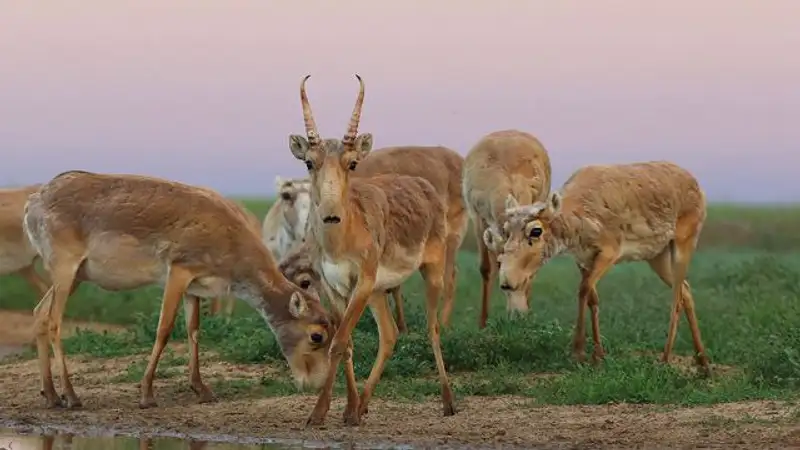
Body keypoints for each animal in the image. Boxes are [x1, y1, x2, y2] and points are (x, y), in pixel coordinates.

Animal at [23, 171, 332, 410]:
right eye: (316, 335)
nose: (316, 383)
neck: (232, 243)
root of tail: (33, 202)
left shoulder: (195, 286)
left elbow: (193, 329)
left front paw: (202, 389)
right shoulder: (178, 271)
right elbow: (164, 328)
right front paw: (147, 394)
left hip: (76, 275)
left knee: (39, 313)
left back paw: (51, 395)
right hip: (65, 267)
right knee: (54, 321)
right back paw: (71, 396)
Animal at [290, 75, 456, 428]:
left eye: (352, 163)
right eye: (309, 162)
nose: (330, 215)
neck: (341, 239)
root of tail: (424, 186)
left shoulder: (362, 282)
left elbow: (338, 342)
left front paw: (319, 413)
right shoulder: (333, 287)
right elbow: (346, 343)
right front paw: (347, 409)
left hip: (431, 272)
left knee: (433, 328)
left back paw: (449, 403)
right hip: (380, 292)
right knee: (390, 335)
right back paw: (364, 405)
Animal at [460, 129, 552, 326]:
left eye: (525, 279)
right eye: (504, 286)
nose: (519, 316)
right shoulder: (478, 219)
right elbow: (485, 268)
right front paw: (482, 323)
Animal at [494, 162, 712, 376]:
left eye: (536, 230)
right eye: (506, 230)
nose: (507, 282)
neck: (580, 215)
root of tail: (695, 183)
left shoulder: (609, 253)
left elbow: (583, 290)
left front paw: (578, 351)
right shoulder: (583, 260)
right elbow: (592, 297)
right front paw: (598, 355)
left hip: (683, 243)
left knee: (677, 297)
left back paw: (666, 359)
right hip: (658, 256)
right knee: (685, 290)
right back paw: (703, 362)